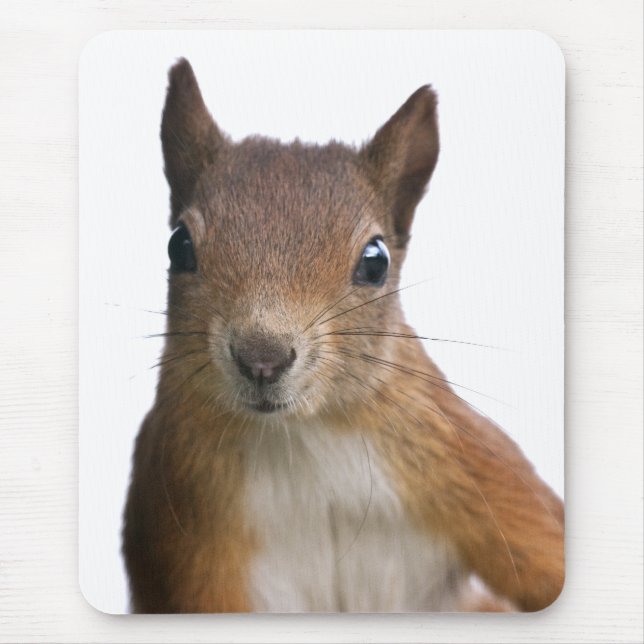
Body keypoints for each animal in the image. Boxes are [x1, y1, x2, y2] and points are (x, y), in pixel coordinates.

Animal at [122, 58, 564, 613]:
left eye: (376, 260)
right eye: (178, 246)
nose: (262, 358)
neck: (299, 436)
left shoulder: (475, 467)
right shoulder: (186, 539)